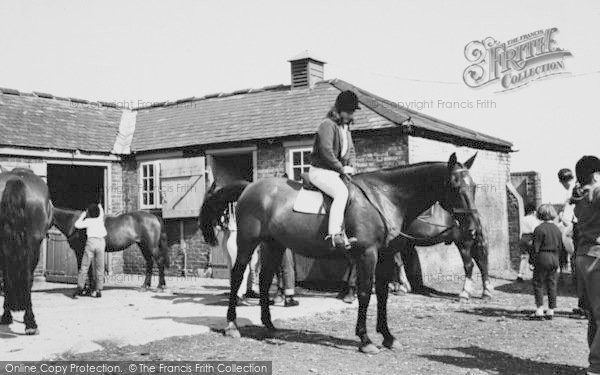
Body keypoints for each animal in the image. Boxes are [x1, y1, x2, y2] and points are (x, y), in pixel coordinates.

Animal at [0, 167, 53, 334]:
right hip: (34, 246)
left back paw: (8, 316)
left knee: (8, 277)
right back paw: (30, 322)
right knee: (27, 277)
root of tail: (15, 180)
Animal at [199, 153, 486, 356]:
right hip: (248, 244)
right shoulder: (367, 255)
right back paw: (232, 326)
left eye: (474, 187)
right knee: (237, 277)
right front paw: (366, 339)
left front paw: (388, 336)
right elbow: (365, 293)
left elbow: (382, 295)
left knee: (267, 278)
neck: (385, 197)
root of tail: (250, 187)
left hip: (274, 245)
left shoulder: (384, 256)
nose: (473, 229)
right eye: (454, 185)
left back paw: (269, 326)